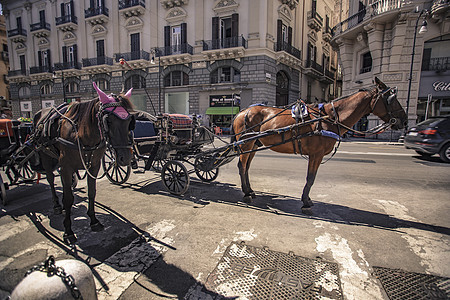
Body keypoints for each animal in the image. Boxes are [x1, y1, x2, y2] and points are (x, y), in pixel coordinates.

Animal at [31, 83, 134, 245]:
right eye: (108, 121)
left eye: (130, 121)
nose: (126, 158)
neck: (81, 133)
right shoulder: (66, 167)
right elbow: (68, 198)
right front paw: (68, 231)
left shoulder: (94, 165)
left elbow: (91, 192)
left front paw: (93, 220)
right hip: (45, 155)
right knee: (51, 180)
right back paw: (57, 205)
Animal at [232, 78, 408, 213]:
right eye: (391, 99)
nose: (405, 121)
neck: (328, 118)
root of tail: (241, 112)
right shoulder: (316, 154)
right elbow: (310, 178)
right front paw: (305, 202)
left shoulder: (317, 155)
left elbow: (312, 178)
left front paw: (307, 199)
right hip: (246, 144)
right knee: (241, 166)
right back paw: (246, 193)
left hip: (254, 144)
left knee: (246, 167)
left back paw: (249, 190)